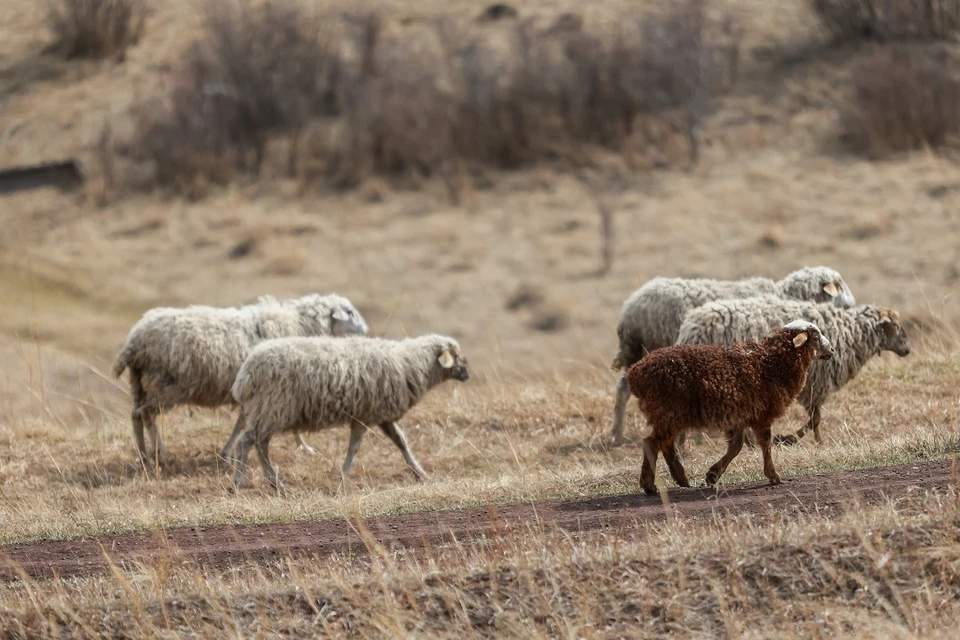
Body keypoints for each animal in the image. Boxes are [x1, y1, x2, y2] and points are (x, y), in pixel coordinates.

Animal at [112, 293, 370, 465]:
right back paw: (159, 453)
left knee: (136, 416)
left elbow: (241, 421)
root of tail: (134, 340)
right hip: (165, 385)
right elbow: (249, 422)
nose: (366, 331)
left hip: (140, 384)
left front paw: (227, 451)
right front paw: (304, 446)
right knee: (147, 415)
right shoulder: (282, 389)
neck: (301, 325)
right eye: (349, 312)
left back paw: (144, 455)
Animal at [227, 333, 470, 492]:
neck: (410, 363)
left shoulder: (378, 415)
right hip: (274, 408)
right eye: (456, 355)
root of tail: (247, 373)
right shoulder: (366, 416)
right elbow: (354, 447)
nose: (468, 374)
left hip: (268, 411)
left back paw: (274, 482)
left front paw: (420, 472)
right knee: (247, 441)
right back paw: (240, 482)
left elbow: (400, 442)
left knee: (260, 444)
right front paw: (344, 476)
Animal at [609, 266, 855, 446]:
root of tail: (632, 307)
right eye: (838, 284)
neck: (786, 295)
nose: (851, 304)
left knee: (622, 389)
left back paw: (616, 435)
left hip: (639, 354)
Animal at [627, 320, 834, 495]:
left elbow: (736, 447)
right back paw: (649, 485)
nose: (832, 349)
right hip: (669, 412)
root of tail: (635, 372)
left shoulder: (740, 415)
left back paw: (681, 479)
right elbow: (766, 444)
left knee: (665, 445)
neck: (770, 364)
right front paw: (773, 476)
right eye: (816, 338)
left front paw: (713, 475)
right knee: (651, 443)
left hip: (670, 416)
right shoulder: (762, 415)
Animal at [675, 296, 911, 447]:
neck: (851, 331)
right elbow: (815, 419)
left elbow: (815, 419)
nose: (908, 349)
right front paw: (802, 441)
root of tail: (691, 329)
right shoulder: (816, 384)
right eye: (896, 326)